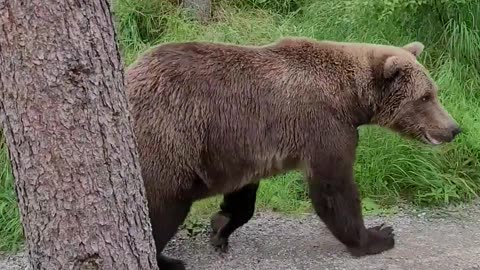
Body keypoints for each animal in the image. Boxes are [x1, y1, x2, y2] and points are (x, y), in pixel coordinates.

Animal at [124, 36, 462, 270]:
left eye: (434, 92)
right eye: (425, 97)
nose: (454, 128)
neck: (350, 98)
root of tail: (129, 74)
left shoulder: (245, 145)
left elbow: (243, 195)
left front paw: (221, 227)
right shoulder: (323, 126)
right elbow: (333, 187)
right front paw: (377, 235)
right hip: (168, 143)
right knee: (162, 208)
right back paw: (168, 260)